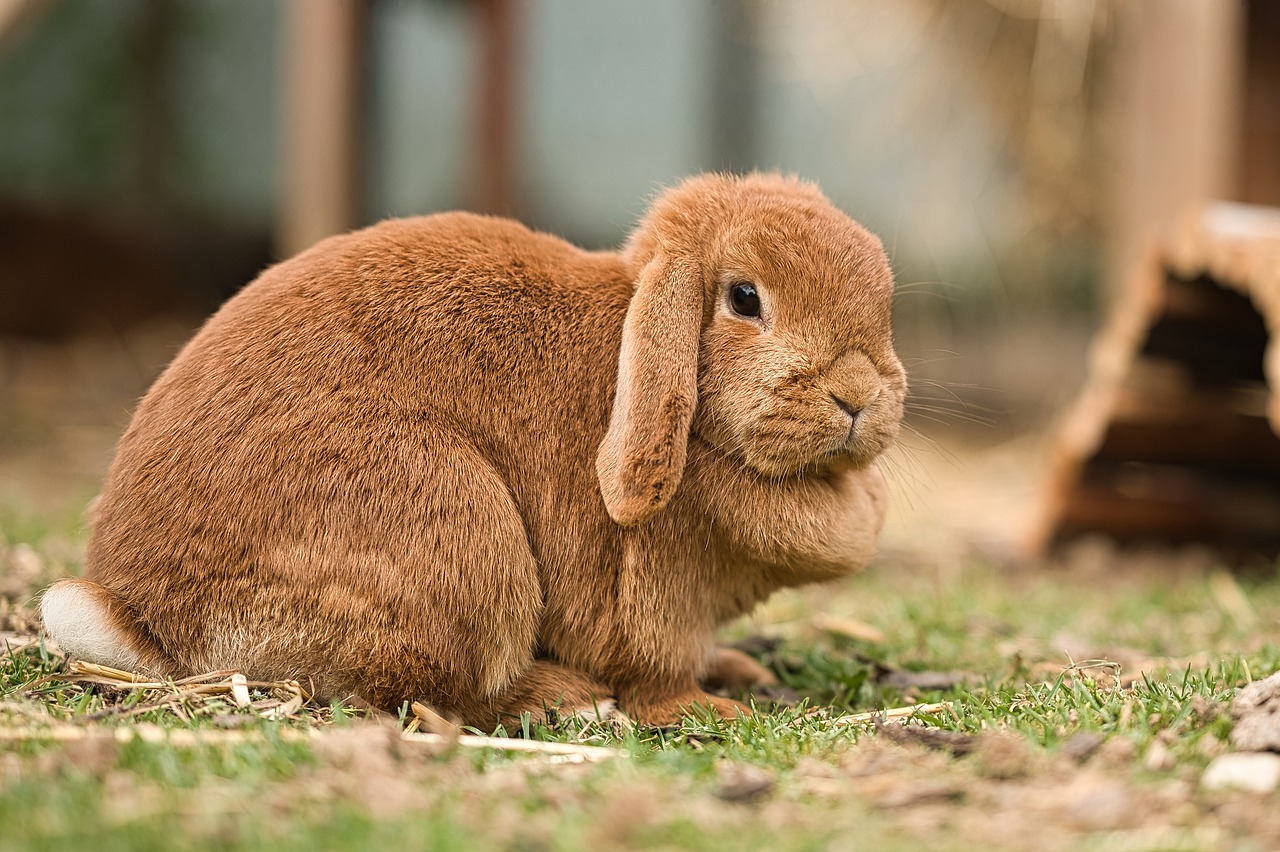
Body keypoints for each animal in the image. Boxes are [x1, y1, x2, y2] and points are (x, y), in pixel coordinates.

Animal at [40, 172, 906, 721]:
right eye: (745, 299)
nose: (858, 395)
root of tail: (141, 619)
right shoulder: (655, 597)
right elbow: (655, 675)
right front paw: (712, 710)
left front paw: (737, 671)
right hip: (458, 538)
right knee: (434, 694)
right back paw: (560, 697)